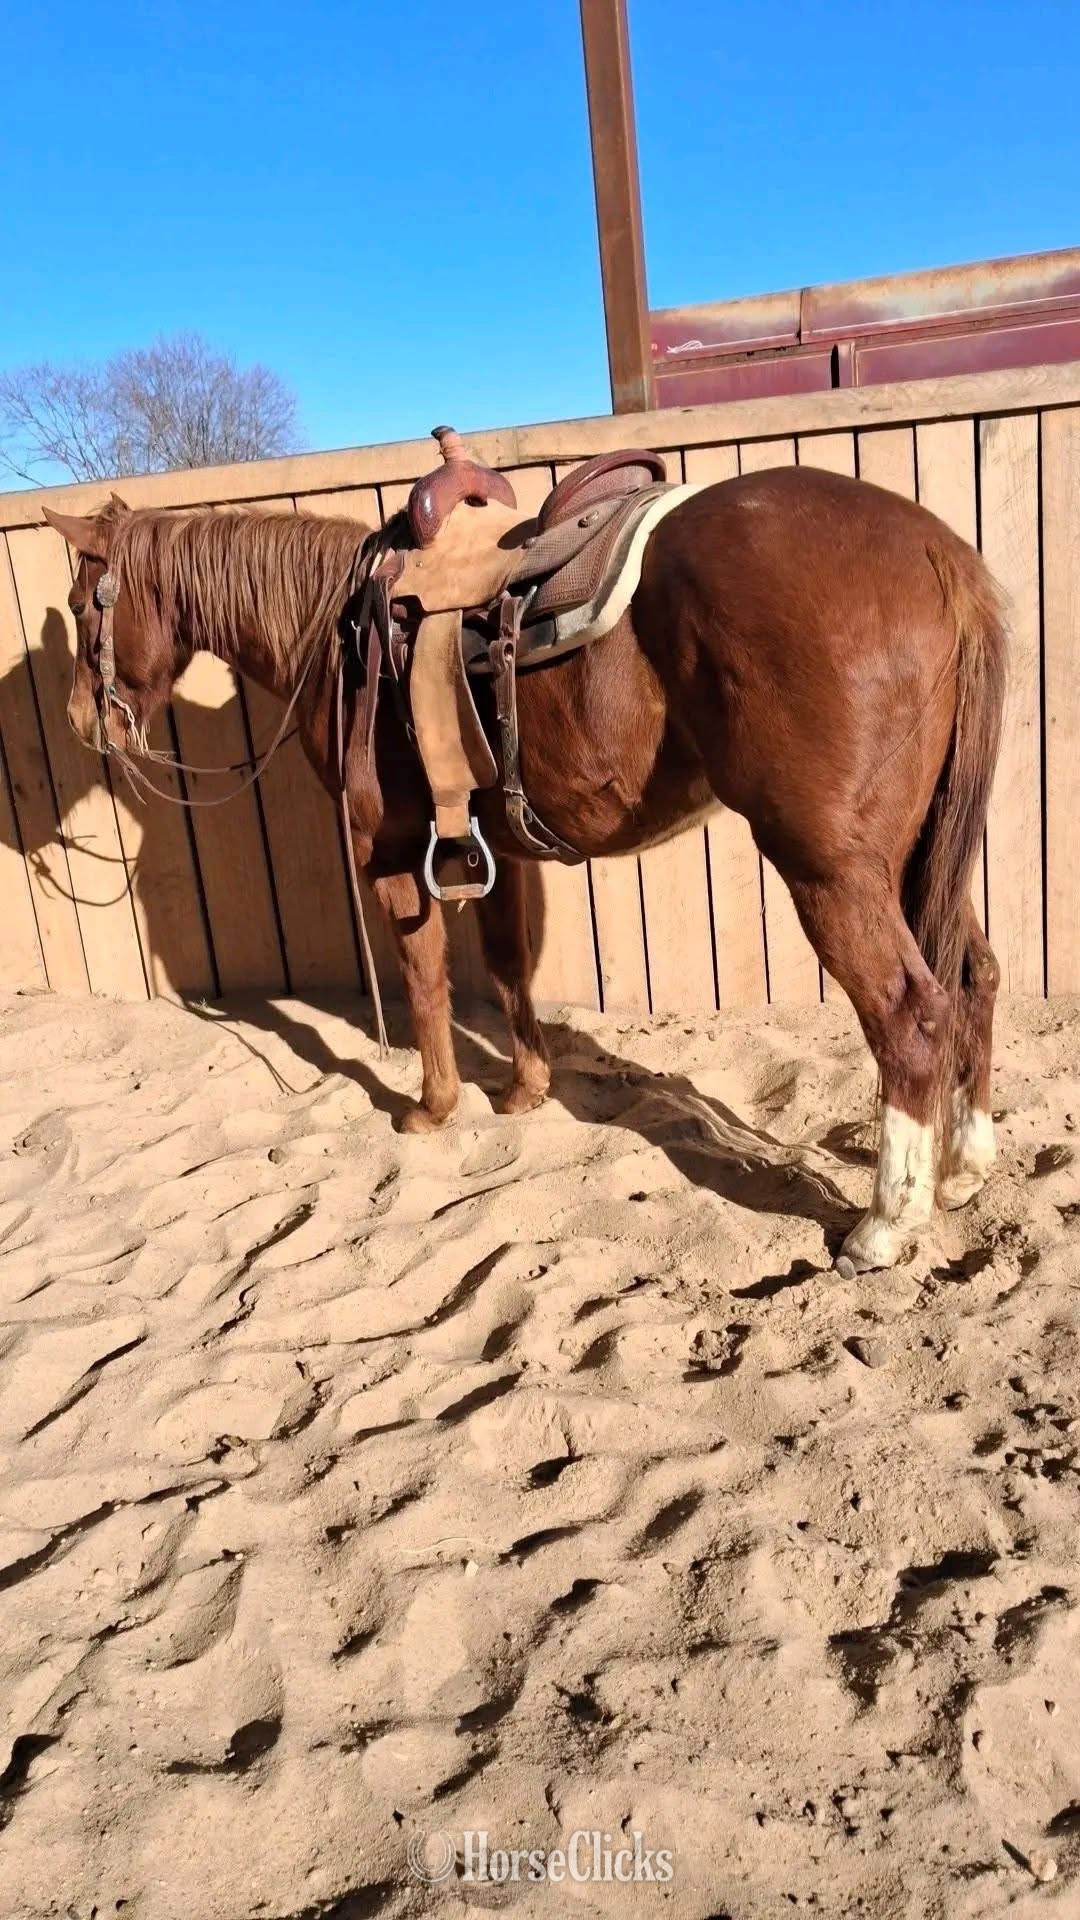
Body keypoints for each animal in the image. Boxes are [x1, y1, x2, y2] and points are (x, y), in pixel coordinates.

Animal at [43, 459, 1006, 1274]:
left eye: (85, 604)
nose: (83, 721)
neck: (338, 633)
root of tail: (939, 553)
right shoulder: (490, 848)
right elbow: (508, 970)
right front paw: (526, 1090)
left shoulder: (391, 851)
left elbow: (425, 976)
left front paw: (432, 1107)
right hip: (916, 855)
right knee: (974, 978)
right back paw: (965, 1164)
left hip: (831, 869)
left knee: (911, 1014)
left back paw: (883, 1225)